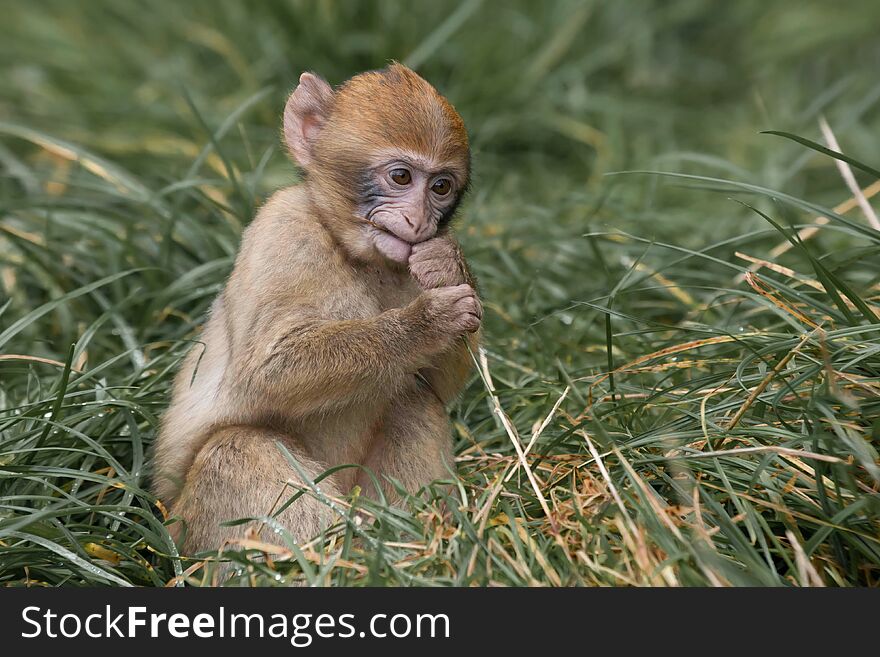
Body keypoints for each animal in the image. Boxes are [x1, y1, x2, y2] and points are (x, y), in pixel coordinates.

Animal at [153, 62, 482, 552]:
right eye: (402, 177)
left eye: (441, 186)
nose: (420, 221)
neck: (351, 250)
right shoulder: (284, 229)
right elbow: (269, 369)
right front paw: (425, 324)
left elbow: (439, 385)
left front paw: (446, 264)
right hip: (192, 526)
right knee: (236, 448)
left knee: (414, 399)